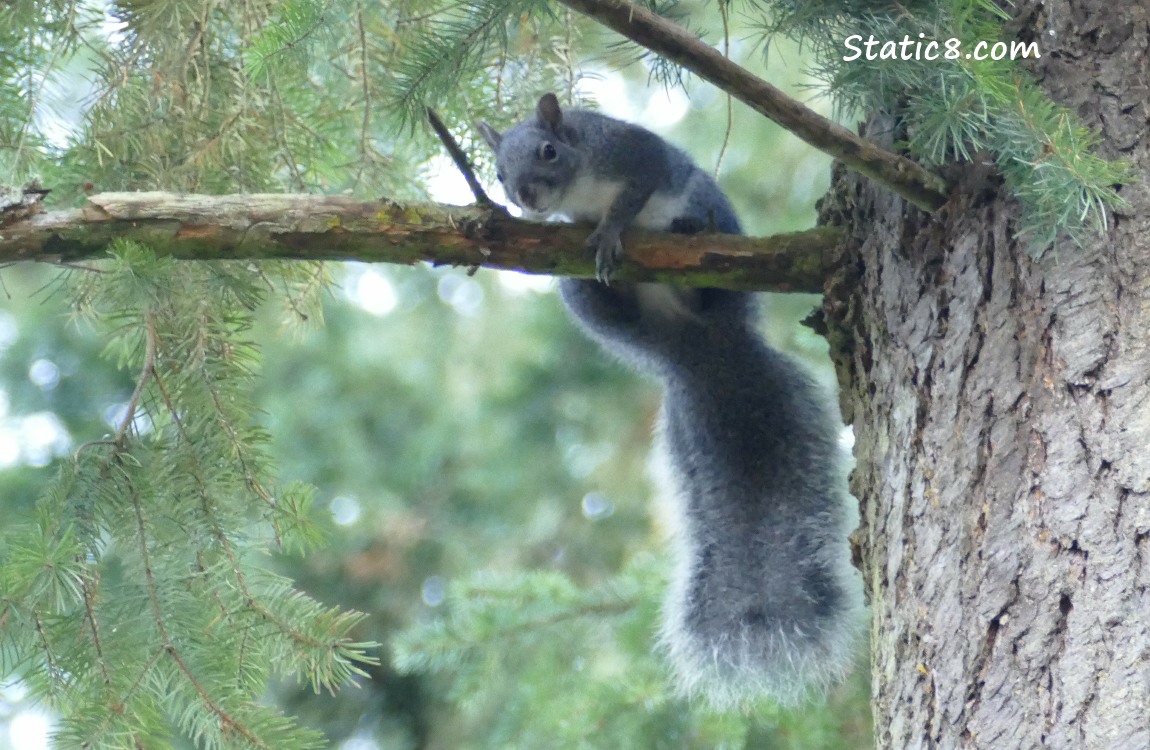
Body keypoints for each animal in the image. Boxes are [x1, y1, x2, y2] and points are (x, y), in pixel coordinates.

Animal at [478, 93, 864, 708]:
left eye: (548, 151)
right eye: (495, 173)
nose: (526, 198)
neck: (581, 186)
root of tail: (696, 349)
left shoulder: (634, 154)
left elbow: (635, 191)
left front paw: (611, 228)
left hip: (717, 236)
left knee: (707, 279)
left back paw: (689, 257)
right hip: (595, 307)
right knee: (613, 312)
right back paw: (608, 291)